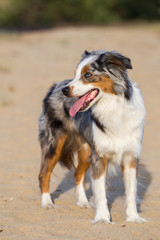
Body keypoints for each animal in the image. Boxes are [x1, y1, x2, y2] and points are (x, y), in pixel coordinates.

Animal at [38, 50, 146, 223]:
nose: (65, 91)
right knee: (43, 175)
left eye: (87, 75)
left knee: (78, 174)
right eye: (75, 74)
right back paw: (47, 203)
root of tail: (55, 86)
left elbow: (131, 191)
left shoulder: (130, 156)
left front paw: (133, 218)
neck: (114, 108)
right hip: (54, 145)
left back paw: (82, 202)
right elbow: (100, 192)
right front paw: (102, 218)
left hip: (86, 151)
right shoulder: (100, 157)